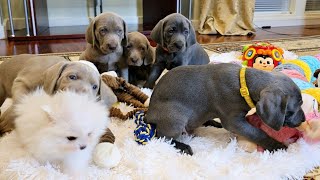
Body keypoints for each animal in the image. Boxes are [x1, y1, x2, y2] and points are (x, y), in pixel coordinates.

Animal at [144, 63, 304, 155]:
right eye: (292, 110)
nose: (303, 120)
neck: (244, 84)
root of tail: (148, 114)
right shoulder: (233, 121)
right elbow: (257, 133)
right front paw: (276, 146)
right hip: (175, 118)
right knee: (162, 137)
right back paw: (183, 147)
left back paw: (213, 123)